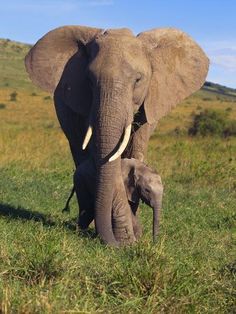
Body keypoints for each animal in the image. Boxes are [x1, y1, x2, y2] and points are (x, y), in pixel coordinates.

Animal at [24, 25, 208, 245]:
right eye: (89, 80)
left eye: (138, 80)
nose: (115, 243)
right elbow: (103, 156)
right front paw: (126, 239)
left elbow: (133, 152)